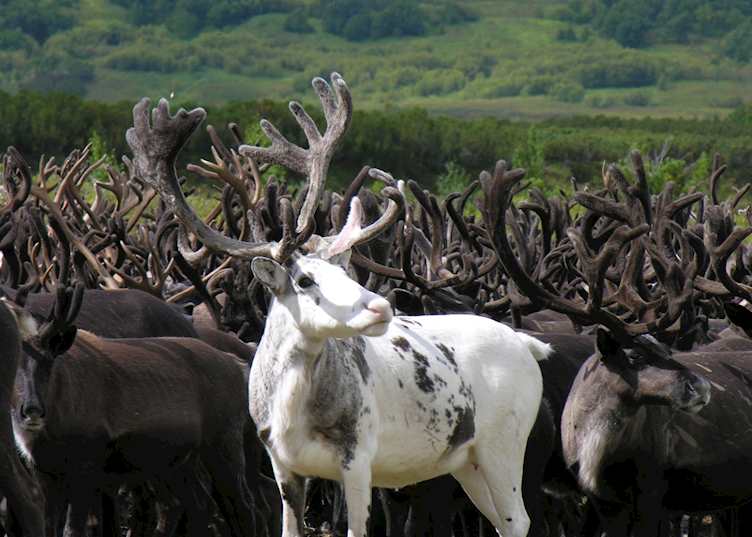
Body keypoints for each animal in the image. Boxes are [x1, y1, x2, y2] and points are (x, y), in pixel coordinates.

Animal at [126, 73, 553, 537]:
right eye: (305, 280)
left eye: (346, 273)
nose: (381, 308)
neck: (293, 410)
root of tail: (526, 344)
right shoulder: (282, 466)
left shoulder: (359, 459)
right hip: (466, 460)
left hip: (504, 442)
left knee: (519, 518)